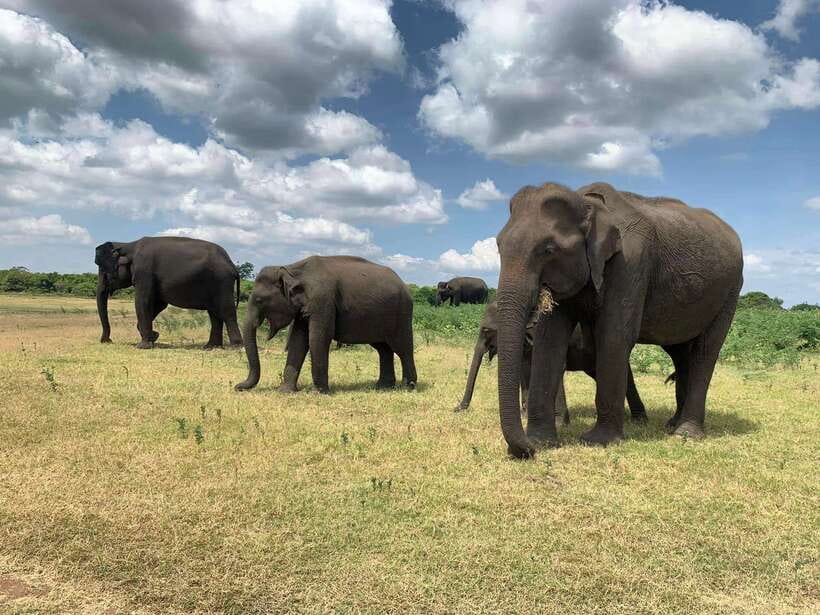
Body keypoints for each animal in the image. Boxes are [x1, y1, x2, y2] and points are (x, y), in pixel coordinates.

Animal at [94, 237, 242, 349]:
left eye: (103, 270)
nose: (107, 341)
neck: (128, 245)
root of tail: (232, 264)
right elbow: (159, 304)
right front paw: (154, 337)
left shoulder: (144, 272)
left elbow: (143, 301)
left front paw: (143, 346)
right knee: (214, 313)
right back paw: (210, 347)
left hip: (222, 281)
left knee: (226, 310)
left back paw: (235, 346)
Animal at [235, 255, 417, 393]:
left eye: (259, 300)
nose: (237, 387)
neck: (291, 269)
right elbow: (298, 341)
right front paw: (284, 391)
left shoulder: (322, 301)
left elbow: (318, 338)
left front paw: (317, 393)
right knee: (383, 349)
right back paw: (382, 387)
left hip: (401, 313)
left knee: (402, 348)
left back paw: (407, 387)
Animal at [495, 182, 742, 457]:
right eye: (498, 246)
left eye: (548, 250)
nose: (527, 451)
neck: (587, 204)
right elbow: (549, 341)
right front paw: (542, 441)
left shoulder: (630, 263)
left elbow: (614, 336)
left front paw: (597, 441)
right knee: (680, 354)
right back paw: (673, 424)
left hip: (731, 289)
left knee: (705, 351)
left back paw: (685, 434)